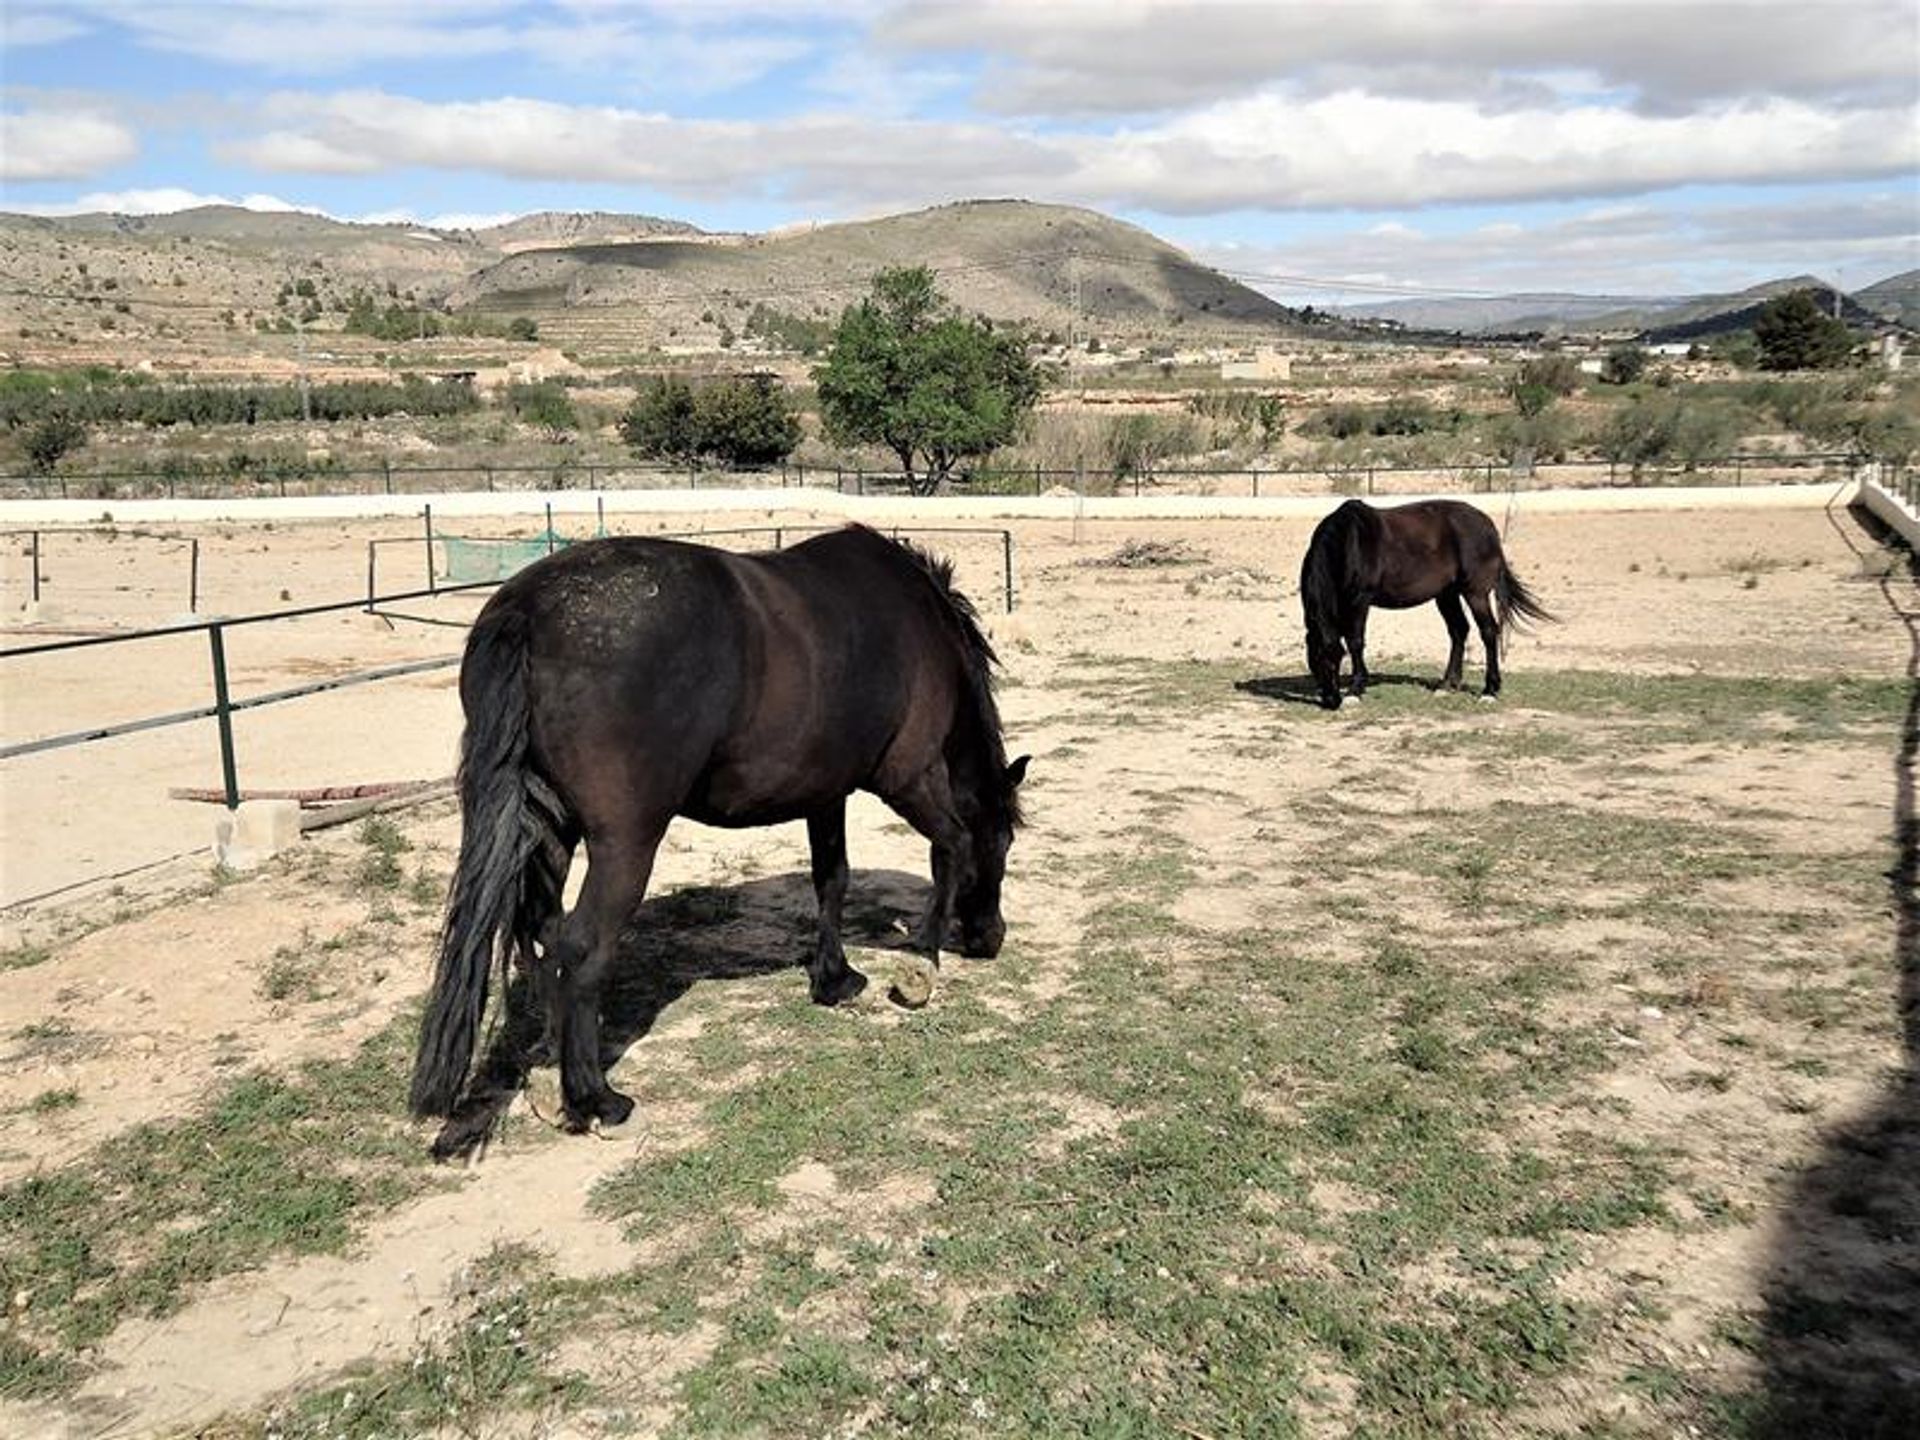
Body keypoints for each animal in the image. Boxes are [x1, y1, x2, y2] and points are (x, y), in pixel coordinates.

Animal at [410, 526, 1029, 1144]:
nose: (990, 938)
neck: (921, 622)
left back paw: (546, 1073)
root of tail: (530, 609)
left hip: (550, 829)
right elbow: (951, 846)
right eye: (1005, 843)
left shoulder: (826, 793)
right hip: (625, 842)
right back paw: (596, 1098)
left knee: (543, 930)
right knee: (581, 945)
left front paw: (835, 979)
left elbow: (832, 880)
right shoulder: (910, 776)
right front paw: (921, 967)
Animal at [1297, 499, 1551, 714]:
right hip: (1446, 594)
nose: (1332, 701)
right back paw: (1447, 686)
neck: (1349, 542)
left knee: (1488, 631)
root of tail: (1487, 525)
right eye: (1315, 659)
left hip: (1475, 593)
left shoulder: (1360, 600)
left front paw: (1355, 691)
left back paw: (1489, 691)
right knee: (1459, 631)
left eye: (1336, 659)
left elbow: (1355, 642)